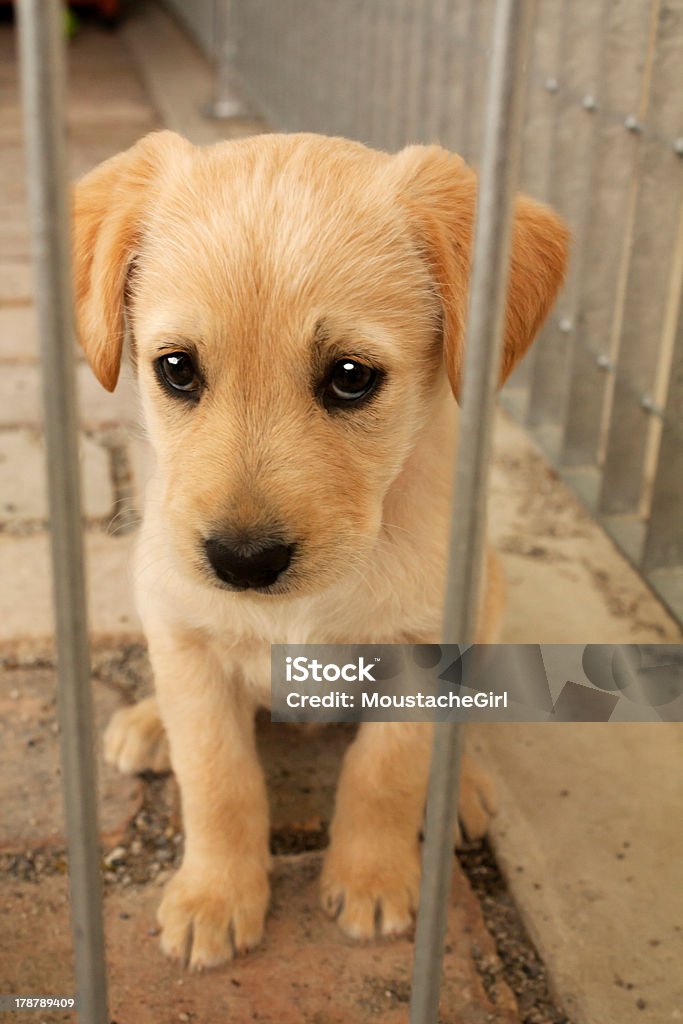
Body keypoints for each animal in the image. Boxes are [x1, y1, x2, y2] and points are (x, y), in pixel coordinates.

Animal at [72, 132, 569, 970]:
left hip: (489, 596)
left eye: (349, 377)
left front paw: (371, 879)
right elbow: (218, 777)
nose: (242, 562)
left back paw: (457, 789)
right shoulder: (186, 634)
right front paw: (215, 895)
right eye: (176, 368)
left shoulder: (423, 648)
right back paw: (146, 723)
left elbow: (384, 772)